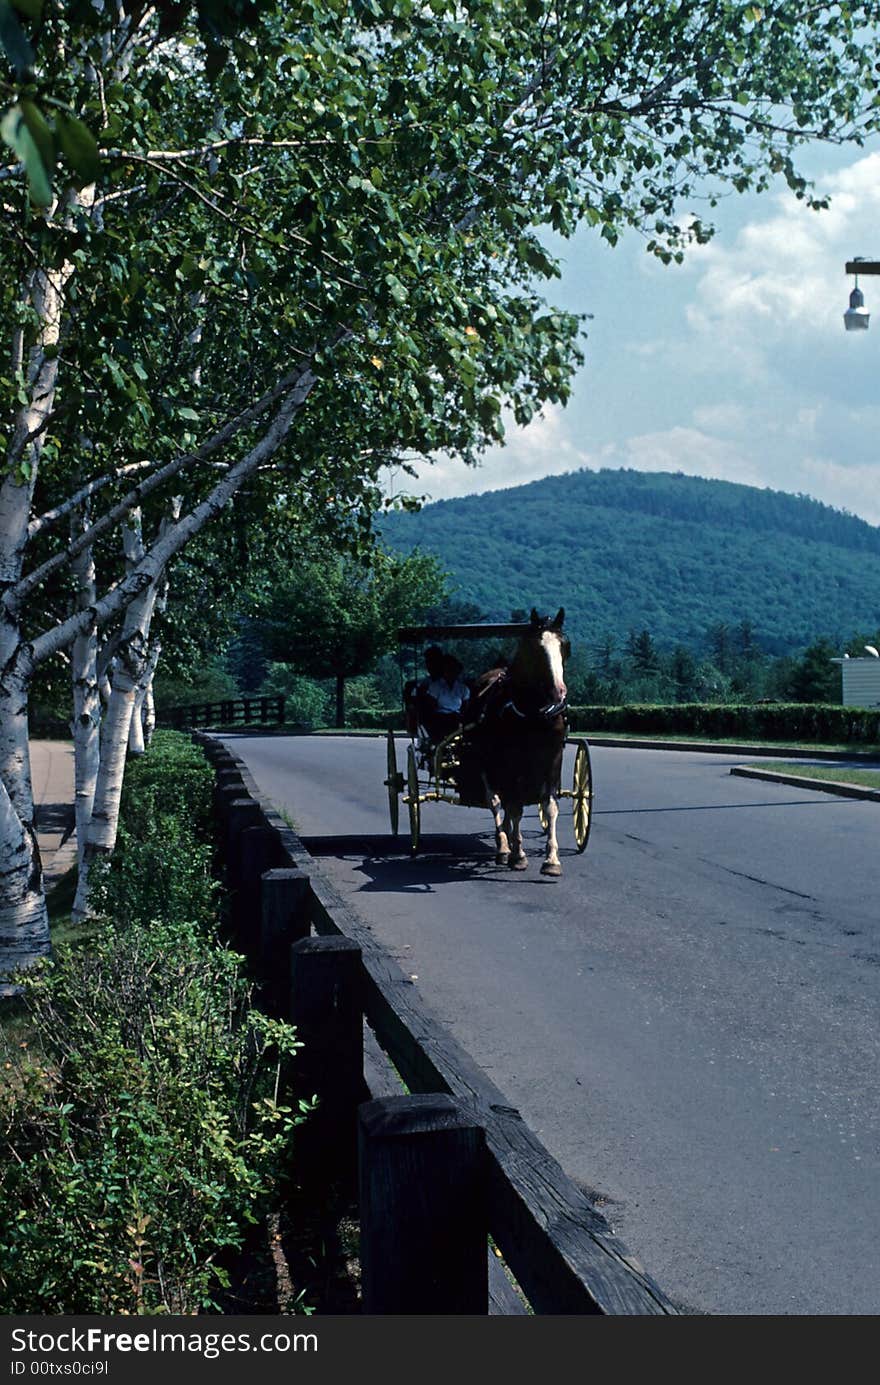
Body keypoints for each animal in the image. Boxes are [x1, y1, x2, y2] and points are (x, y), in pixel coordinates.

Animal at [468, 609, 570, 875]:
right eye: (535, 649)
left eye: (565, 646)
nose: (558, 692)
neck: (534, 712)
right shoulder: (512, 763)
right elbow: (515, 807)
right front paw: (518, 854)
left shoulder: (553, 759)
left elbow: (549, 805)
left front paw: (551, 860)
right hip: (487, 762)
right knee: (495, 800)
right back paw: (504, 845)